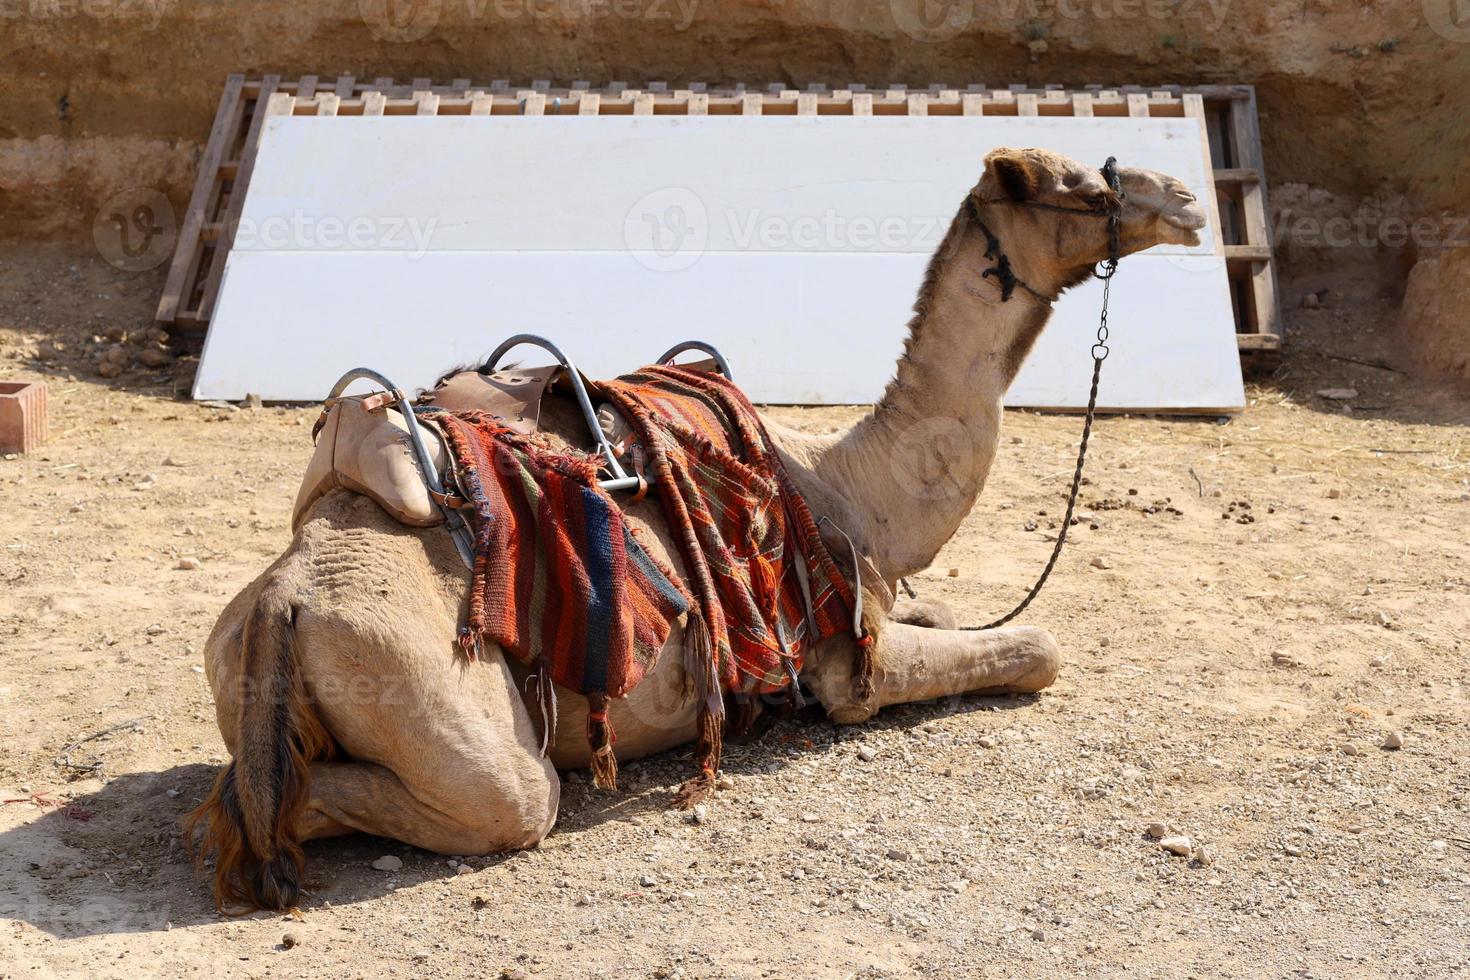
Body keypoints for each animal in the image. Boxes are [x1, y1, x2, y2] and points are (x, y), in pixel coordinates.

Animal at [189, 147, 1199, 910]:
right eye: (1084, 187)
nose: (1186, 200)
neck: (850, 486)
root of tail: (286, 601)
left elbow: (953, 614)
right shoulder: (844, 666)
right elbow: (1037, 649)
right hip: (436, 696)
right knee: (486, 798)